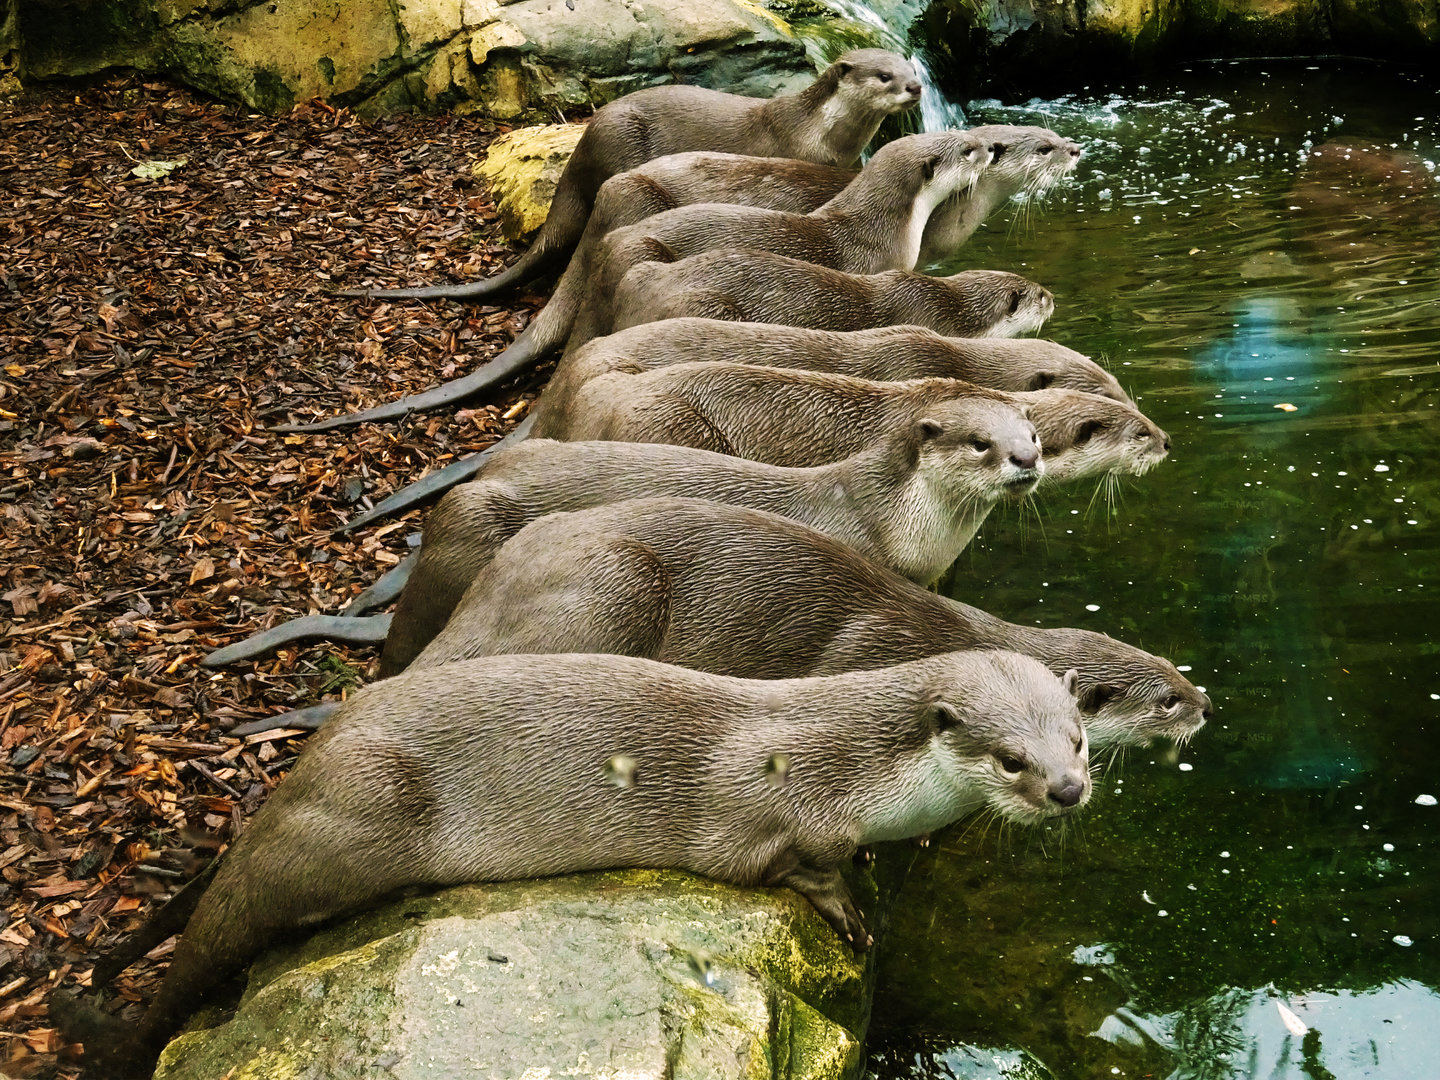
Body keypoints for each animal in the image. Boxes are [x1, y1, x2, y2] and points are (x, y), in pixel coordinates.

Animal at [58, 649, 1089, 1076]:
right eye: (1011, 758)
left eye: (1076, 736)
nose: (1069, 790)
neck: (860, 761)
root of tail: (311, 755)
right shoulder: (761, 806)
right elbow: (781, 865)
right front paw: (843, 903)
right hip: (359, 815)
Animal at [340, 49, 922, 304]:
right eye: (883, 76)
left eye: (912, 70)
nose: (916, 88)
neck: (820, 132)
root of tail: (581, 153)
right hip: (622, 146)